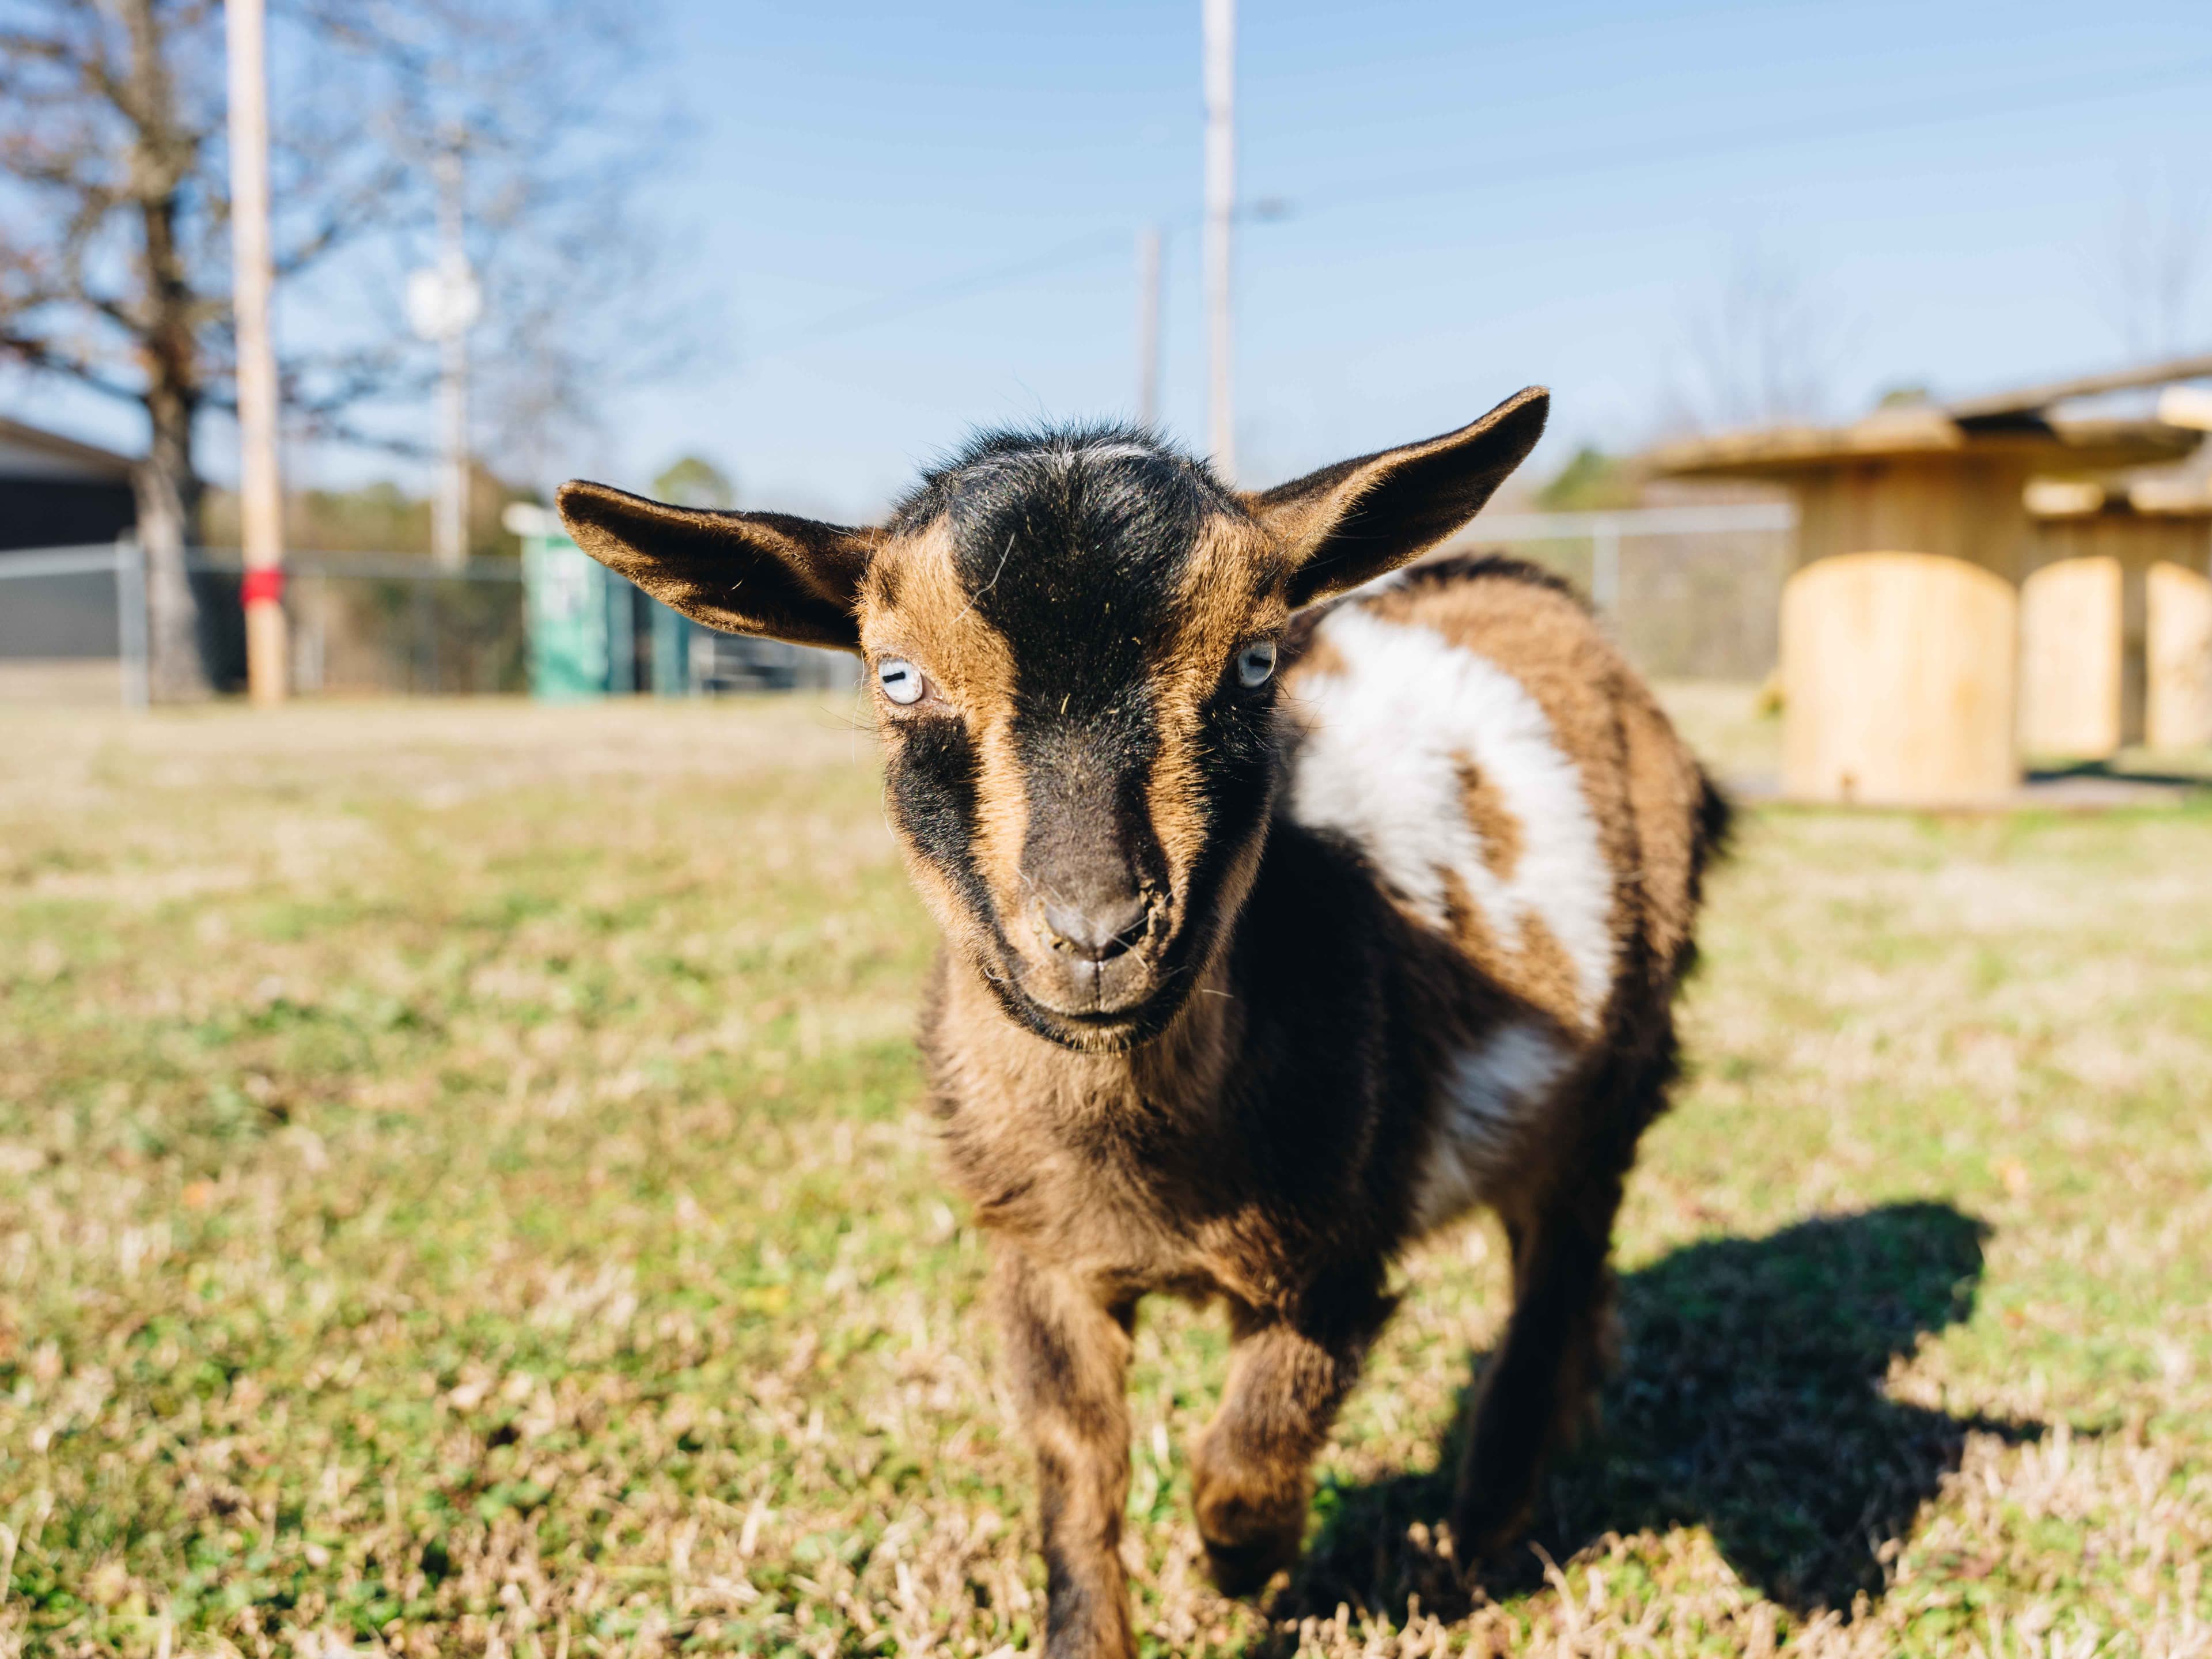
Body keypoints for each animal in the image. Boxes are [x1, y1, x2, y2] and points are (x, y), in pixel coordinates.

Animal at [557, 386, 1729, 1658]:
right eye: (897, 677)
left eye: (1258, 660)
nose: (1097, 934)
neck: (1141, 1166)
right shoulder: (1037, 1256)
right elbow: (1079, 1466)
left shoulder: (1339, 1255)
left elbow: (1249, 1455)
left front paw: (1244, 1564)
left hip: (1615, 1083)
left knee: (1550, 1284)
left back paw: (1481, 1536)